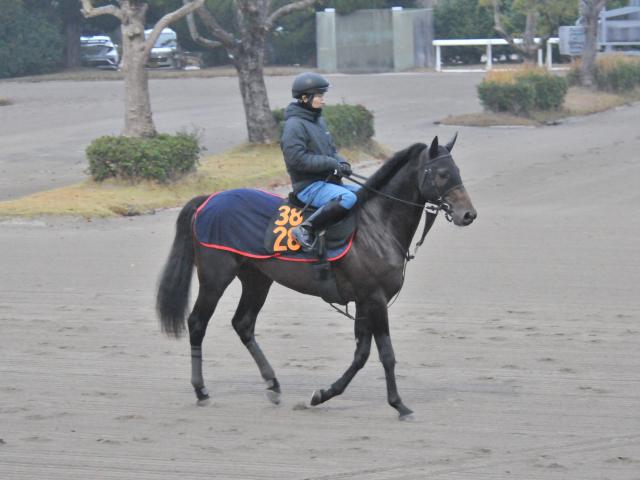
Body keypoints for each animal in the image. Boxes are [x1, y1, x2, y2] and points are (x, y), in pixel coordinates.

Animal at [156, 134, 477, 419]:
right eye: (443, 174)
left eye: (458, 171)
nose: (468, 214)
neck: (376, 225)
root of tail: (207, 200)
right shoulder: (374, 299)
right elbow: (386, 353)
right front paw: (399, 404)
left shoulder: (364, 301)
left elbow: (361, 354)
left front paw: (323, 394)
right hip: (215, 278)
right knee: (198, 323)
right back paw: (201, 391)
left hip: (257, 279)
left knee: (243, 324)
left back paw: (272, 384)